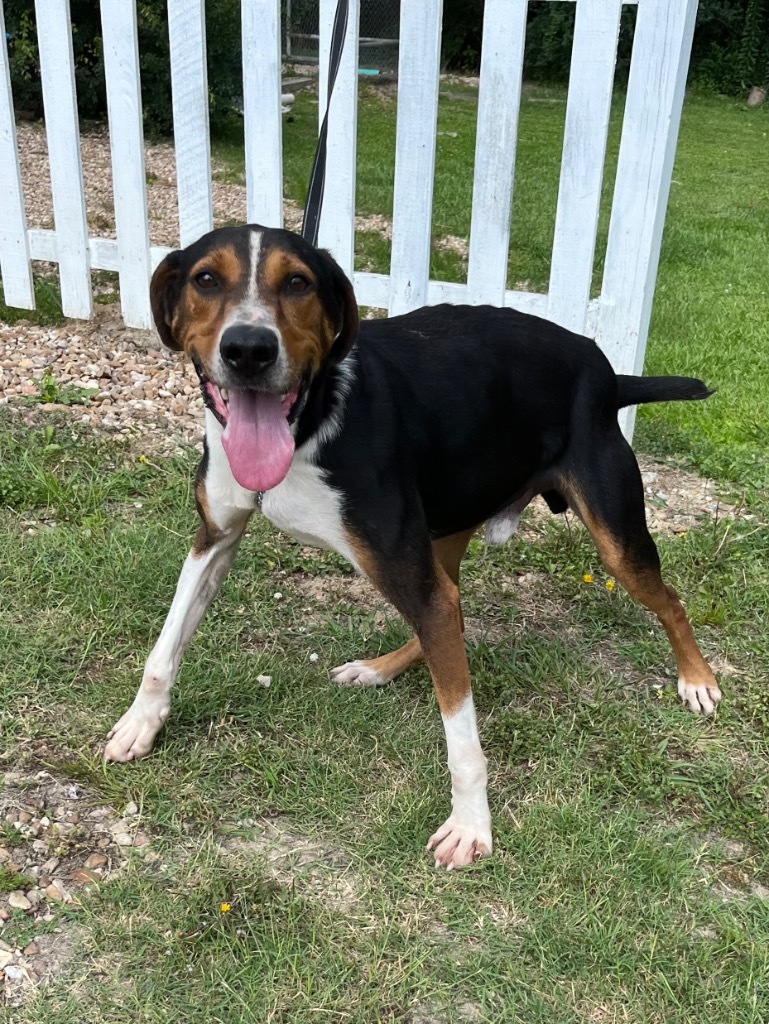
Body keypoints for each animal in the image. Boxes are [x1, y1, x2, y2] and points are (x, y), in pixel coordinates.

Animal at [105, 226, 724, 872]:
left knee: (668, 600)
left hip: (613, 540)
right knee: (452, 607)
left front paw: (472, 826)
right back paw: (378, 669)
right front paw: (140, 723)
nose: (248, 349)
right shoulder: (213, 540)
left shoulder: (406, 569)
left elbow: (462, 737)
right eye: (205, 279)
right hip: (443, 531)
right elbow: (164, 646)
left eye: (297, 282)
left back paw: (697, 680)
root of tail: (607, 371)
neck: (312, 417)